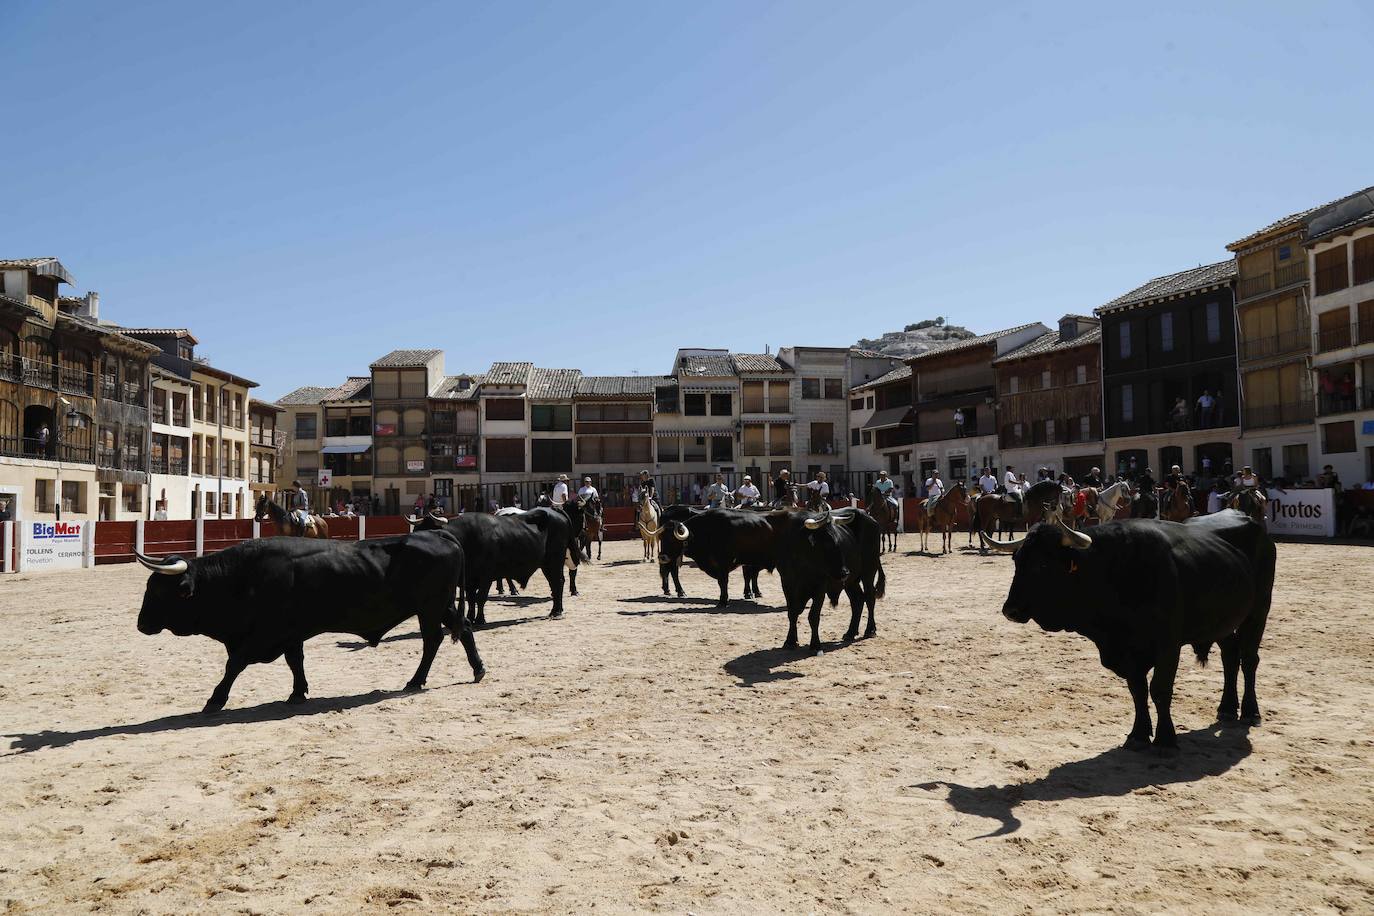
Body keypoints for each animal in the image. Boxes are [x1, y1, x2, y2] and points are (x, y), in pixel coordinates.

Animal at [133, 530, 486, 714]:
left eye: (160, 591)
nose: (141, 625)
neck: (241, 577)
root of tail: (438, 533)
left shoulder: (263, 634)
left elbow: (234, 665)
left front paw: (215, 700)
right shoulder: (290, 634)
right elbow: (295, 661)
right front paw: (298, 692)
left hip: (430, 607)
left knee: (432, 640)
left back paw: (415, 680)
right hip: (441, 606)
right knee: (463, 629)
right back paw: (477, 670)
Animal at [983, 508, 1269, 752]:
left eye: (1042, 565)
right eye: (1017, 561)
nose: (1010, 610)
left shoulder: (1168, 644)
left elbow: (1160, 689)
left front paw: (1165, 739)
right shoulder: (1127, 650)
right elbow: (1137, 690)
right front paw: (1138, 735)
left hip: (1258, 612)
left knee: (1249, 659)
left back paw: (1250, 712)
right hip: (1222, 624)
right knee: (1230, 656)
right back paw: (1227, 709)